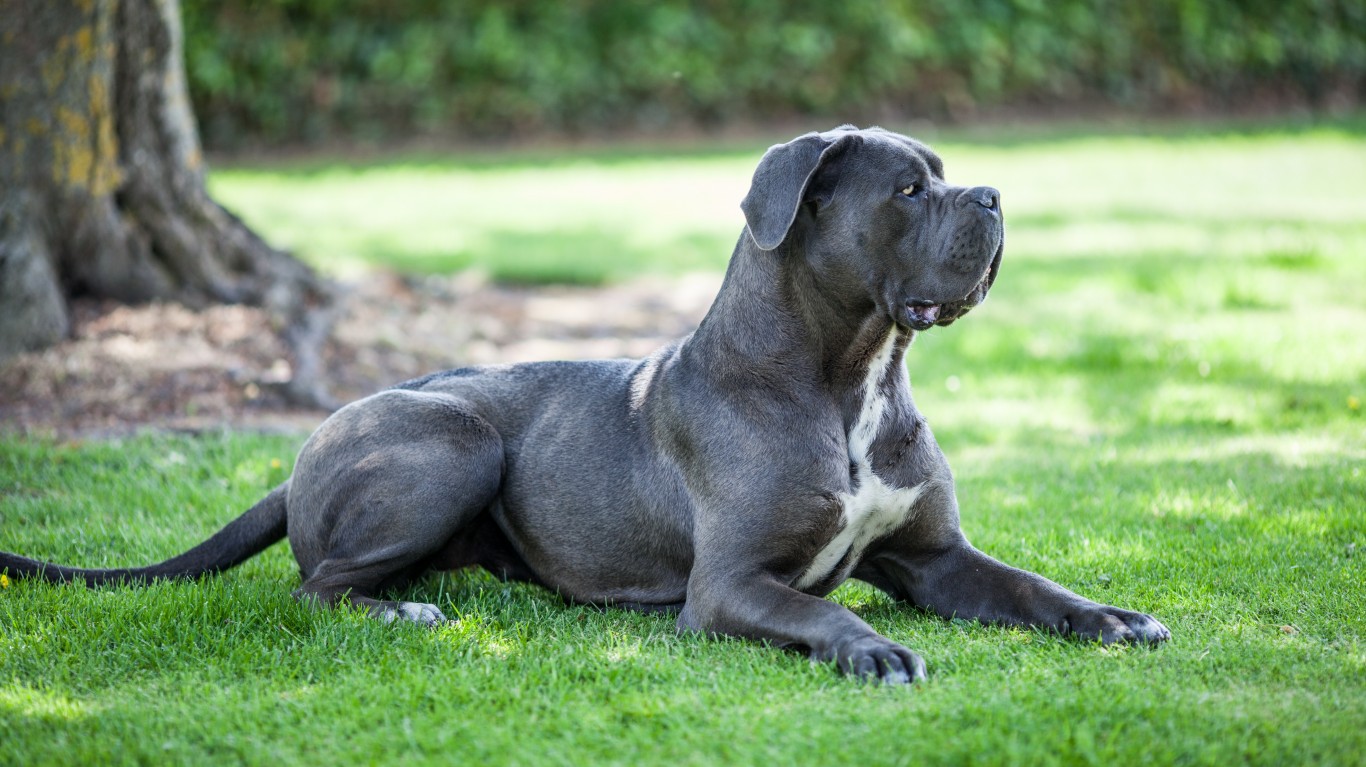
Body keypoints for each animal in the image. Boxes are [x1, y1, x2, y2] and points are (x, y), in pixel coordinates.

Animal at [2, 125, 1174, 680]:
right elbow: (822, 605)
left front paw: (1110, 615)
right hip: (454, 439)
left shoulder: (936, 557)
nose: (995, 196)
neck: (852, 375)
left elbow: (1029, 585)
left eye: (944, 173)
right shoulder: (732, 584)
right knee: (316, 587)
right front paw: (867, 646)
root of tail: (304, 449)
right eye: (908, 189)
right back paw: (402, 607)